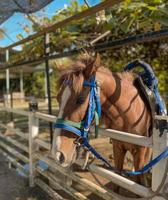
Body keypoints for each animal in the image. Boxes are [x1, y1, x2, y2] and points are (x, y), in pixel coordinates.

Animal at [51, 52, 152, 186]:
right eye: (58, 98)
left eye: (80, 99)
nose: (57, 154)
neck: (130, 113)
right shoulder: (118, 148)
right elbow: (117, 180)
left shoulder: (140, 152)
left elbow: (140, 181)